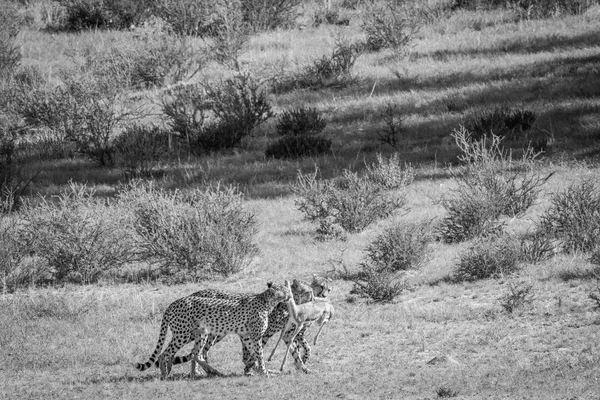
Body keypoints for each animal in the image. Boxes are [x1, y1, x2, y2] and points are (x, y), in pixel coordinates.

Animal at [132, 282, 290, 378]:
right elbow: (259, 354)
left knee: (196, 353)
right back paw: (165, 374)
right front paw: (264, 372)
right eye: (285, 290)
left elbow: (254, 354)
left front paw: (256, 369)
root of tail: (174, 302)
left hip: (201, 333)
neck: (267, 301)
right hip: (184, 334)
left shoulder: (246, 335)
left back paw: (200, 373)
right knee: (165, 353)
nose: (289, 296)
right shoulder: (255, 336)